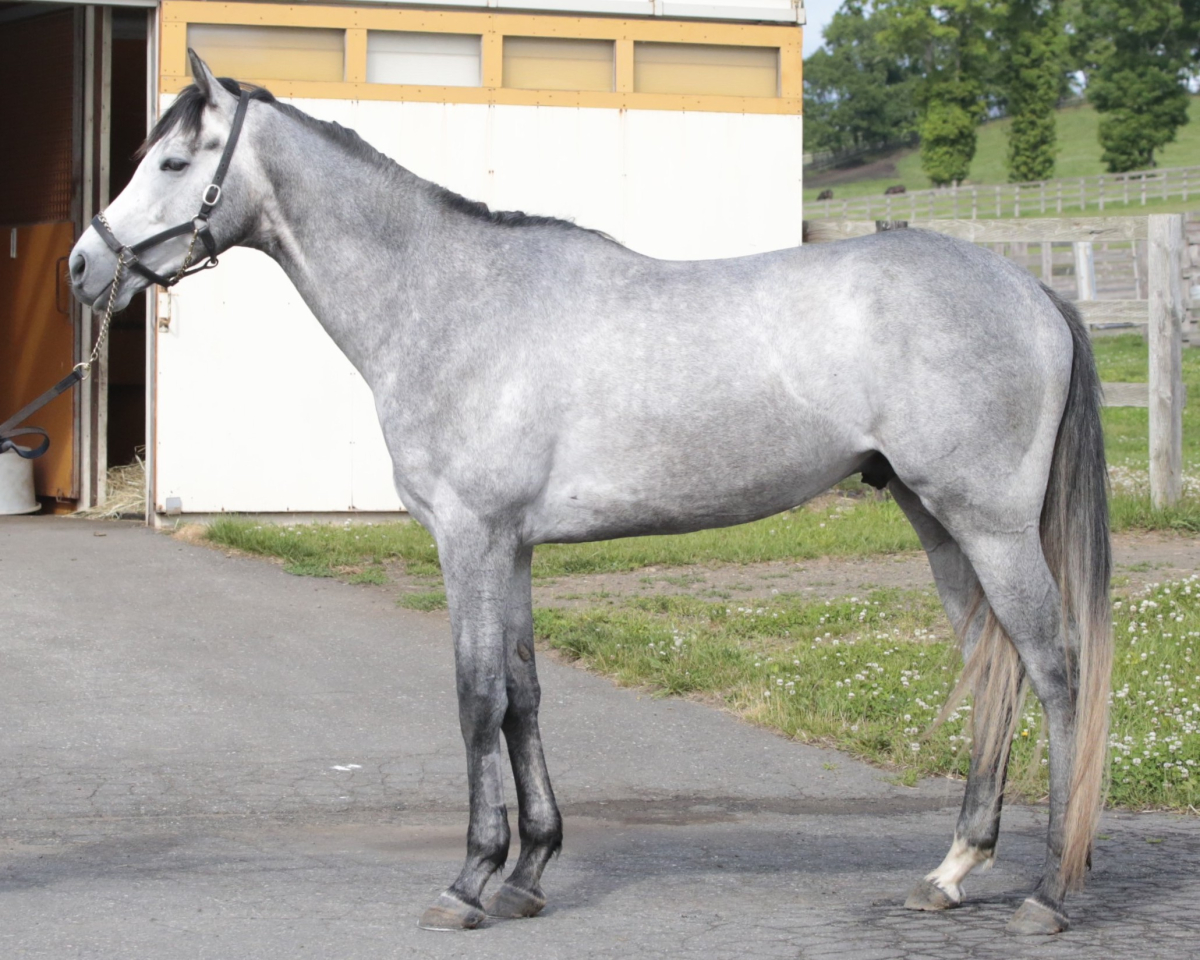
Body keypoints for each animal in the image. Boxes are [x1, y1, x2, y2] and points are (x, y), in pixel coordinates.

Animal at [69, 52, 1111, 936]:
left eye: (171, 160)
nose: (83, 266)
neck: (451, 300)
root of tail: (1033, 290)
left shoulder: (469, 538)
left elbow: (475, 697)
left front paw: (468, 879)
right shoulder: (514, 546)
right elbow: (525, 695)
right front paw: (529, 873)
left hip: (989, 524)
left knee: (1055, 667)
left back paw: (1050, 893)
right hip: (936, 520)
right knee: (993, 667)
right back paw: (952, 873)